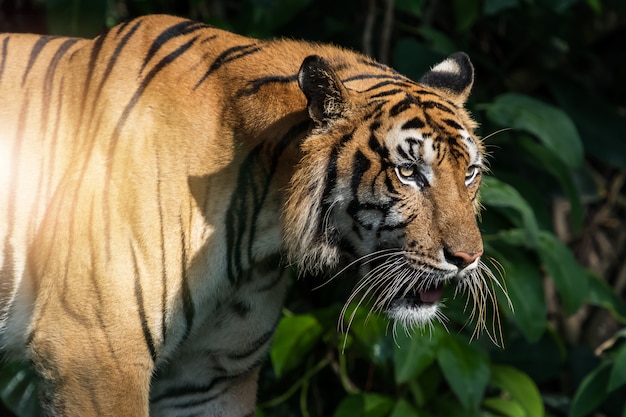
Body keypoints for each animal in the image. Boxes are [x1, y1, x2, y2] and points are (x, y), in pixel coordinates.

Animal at [0, 13, 494, 416]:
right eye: (408, 172)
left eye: (469, 173)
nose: (467, 259)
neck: (261, 228)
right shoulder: (93, 355)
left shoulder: (211, 375)